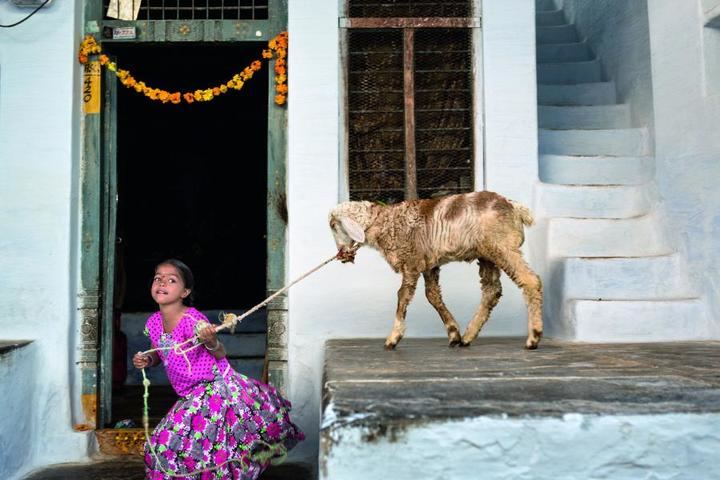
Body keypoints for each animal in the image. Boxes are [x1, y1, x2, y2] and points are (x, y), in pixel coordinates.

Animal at [330, 189, 544, 350]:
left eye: (333, 226)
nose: (340, 254)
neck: (385, 223)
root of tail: (515, 207)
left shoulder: (411, 261)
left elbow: (402, 297)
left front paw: (393, 338)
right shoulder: (428, 265)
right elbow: (432, 296)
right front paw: (453, 333)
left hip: (503, 246)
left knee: (530, 280)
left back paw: (534, 337)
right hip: (487, 253)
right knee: (492, 291)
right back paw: (468, 336)